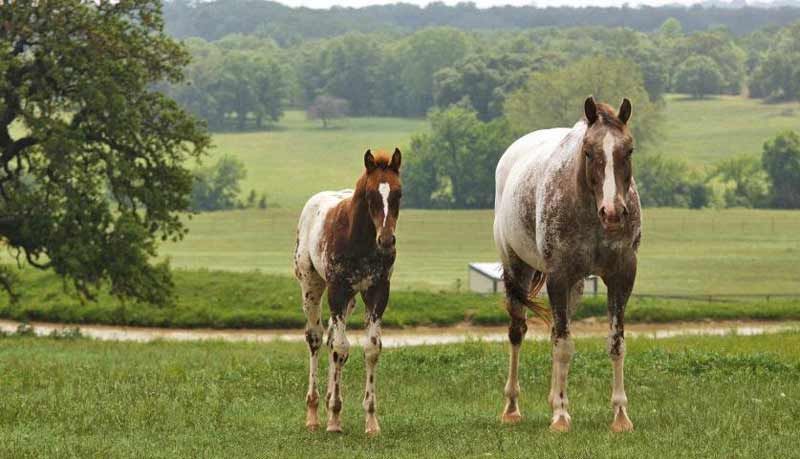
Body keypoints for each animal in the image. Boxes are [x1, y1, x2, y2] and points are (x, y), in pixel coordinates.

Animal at [294, 149, 404, 436]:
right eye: (371, 195)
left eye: (398, 193)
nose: (386, 241)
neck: (361, 240)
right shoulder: (337, 289)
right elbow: (341, 347)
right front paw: (333, 419)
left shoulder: (377, 291)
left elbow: (371, 348)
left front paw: (371, 421)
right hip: (311, 286)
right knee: (316, 338)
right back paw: (314, 413)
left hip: (352, 300)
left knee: (331, 339)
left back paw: (330, 401)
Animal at [494, 97, 644, 434]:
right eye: (588, 151)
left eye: (628, 150)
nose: (613, 212)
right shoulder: (558, 277)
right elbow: (563, 345)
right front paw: (561, 416)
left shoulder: (621, 276)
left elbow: (615, 343)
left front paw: (621, 416)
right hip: (517, 269)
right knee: (517, 332)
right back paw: (511, 408)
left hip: (575, 286)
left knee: (553, 331)